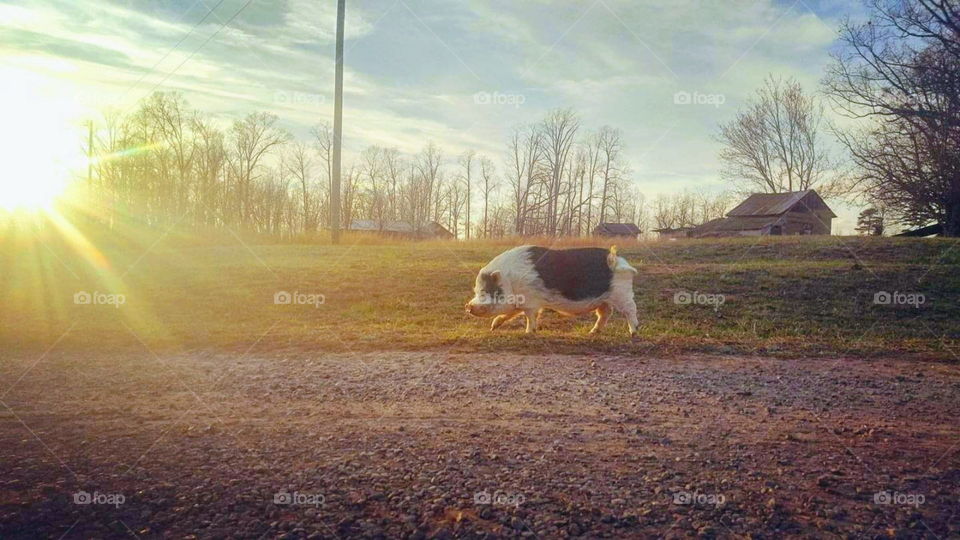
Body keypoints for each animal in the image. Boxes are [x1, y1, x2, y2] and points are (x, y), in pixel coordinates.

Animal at [465, 245, 639, 337]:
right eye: (476, 290)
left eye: (485, 291)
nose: (468, 306)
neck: (510, 281)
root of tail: (619, 262)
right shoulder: (522, 302)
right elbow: (509, 314)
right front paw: (493, 327)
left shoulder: (531, 302)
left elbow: (530, 317)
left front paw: (528, 333)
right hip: (603, 299)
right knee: (605, 313)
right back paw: (592, 332)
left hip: (622, 293)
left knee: (630, 310)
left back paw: (633, 332)